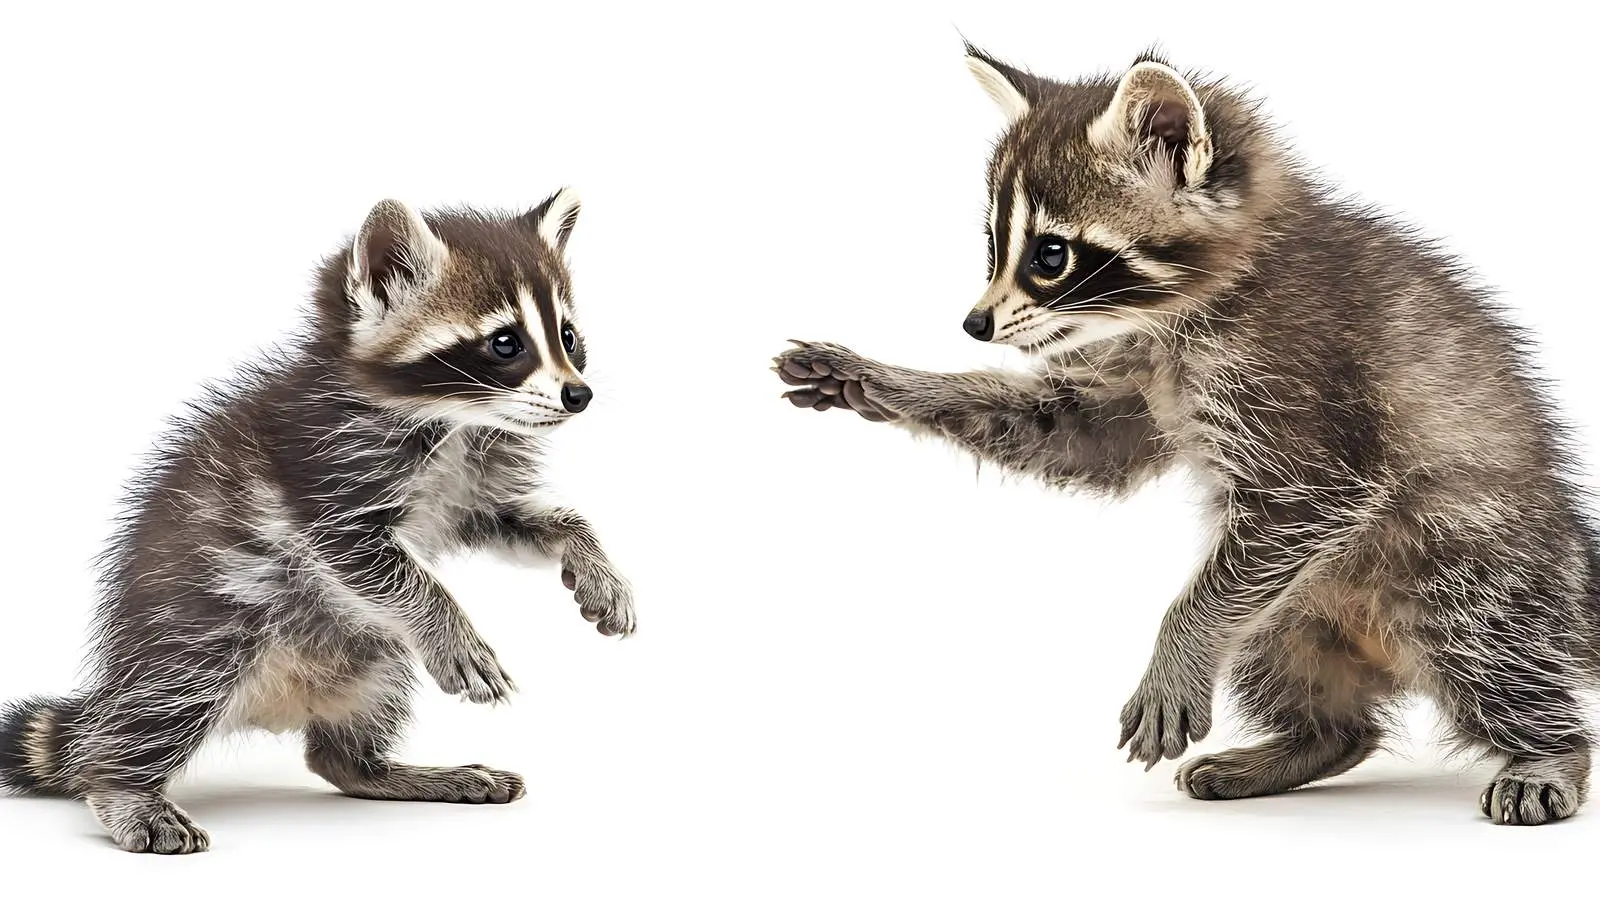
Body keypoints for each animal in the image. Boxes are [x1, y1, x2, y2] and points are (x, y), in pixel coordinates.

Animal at [0, 191, 636, 853]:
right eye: (505, 343)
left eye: (568, 336)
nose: (579, 395)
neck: (452, 419)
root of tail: (275, 705)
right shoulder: (322, 474)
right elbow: (380, 567)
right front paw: (448, 618)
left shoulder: (470, 483)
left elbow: (523, 519)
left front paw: (587, 553)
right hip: (199, 623)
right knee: (166, 699)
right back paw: (123, 786)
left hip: (369, 655)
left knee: (344, 740)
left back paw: (375, 768)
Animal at [775, 46, 1600, 825]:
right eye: (991, 244)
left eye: (1051, 255)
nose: (973, 324)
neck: (1189, 307)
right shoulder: (1138, 373)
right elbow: (1077, 438)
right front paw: (892, 380)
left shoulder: (1307, 392)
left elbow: (1299, 504)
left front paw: (1180, 637)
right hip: (1299, 612)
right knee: (1314, 689)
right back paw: (1306, 742)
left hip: (1466, 565)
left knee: (1487, 651)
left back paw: (1547, 751)